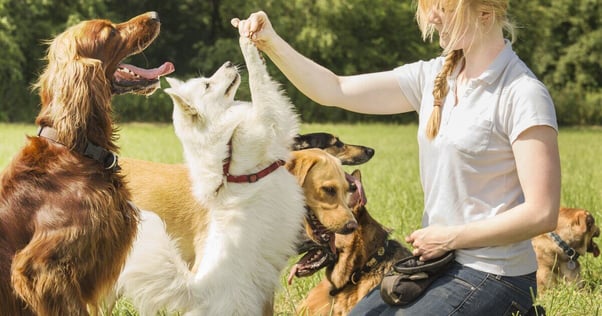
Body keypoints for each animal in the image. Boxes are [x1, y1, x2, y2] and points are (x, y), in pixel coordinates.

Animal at [115, 37, 308, 316]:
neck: (227, 142)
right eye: (207, 84)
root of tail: (197, 290)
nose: (227, 63)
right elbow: (259, 82)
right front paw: (248, 43)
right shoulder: (270, 120)